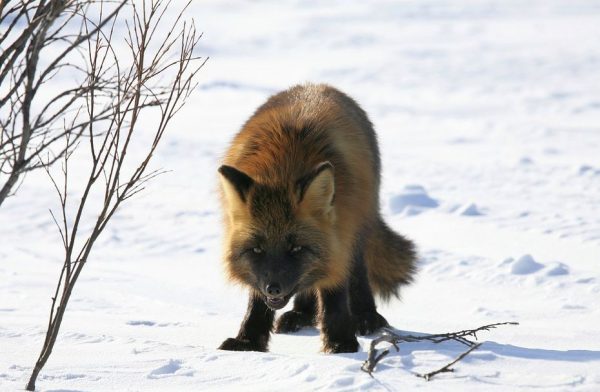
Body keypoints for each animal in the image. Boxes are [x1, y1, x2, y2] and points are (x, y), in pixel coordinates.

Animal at [217, 84, 418, 354]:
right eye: (257, 249)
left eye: (296, 248)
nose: (274, 287)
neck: (284, 167)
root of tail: (319, 85)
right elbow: (257, 300)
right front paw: (248, 342)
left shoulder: (342, 232)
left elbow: (335, 290)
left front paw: (340, 343)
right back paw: (302, 314)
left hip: (358, 228)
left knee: (354, 275)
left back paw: (365, 317)